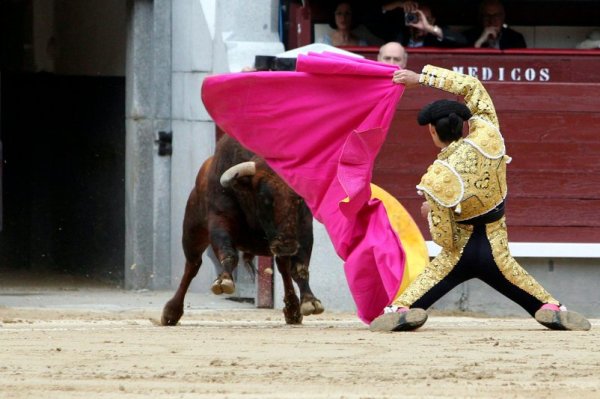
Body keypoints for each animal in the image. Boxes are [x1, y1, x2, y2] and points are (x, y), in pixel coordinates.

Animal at [162, 136, 324, 326]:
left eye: (299, 198)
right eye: (264, 198)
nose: (287, 245)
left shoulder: (304, 230)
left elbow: (300, 268)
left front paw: (310, 301)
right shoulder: (220, 220)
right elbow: (228, 253)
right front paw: (224, 279)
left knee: (283, 266)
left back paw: (292, 311)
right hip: (192, 232)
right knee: (192, 266)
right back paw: (171, 312)